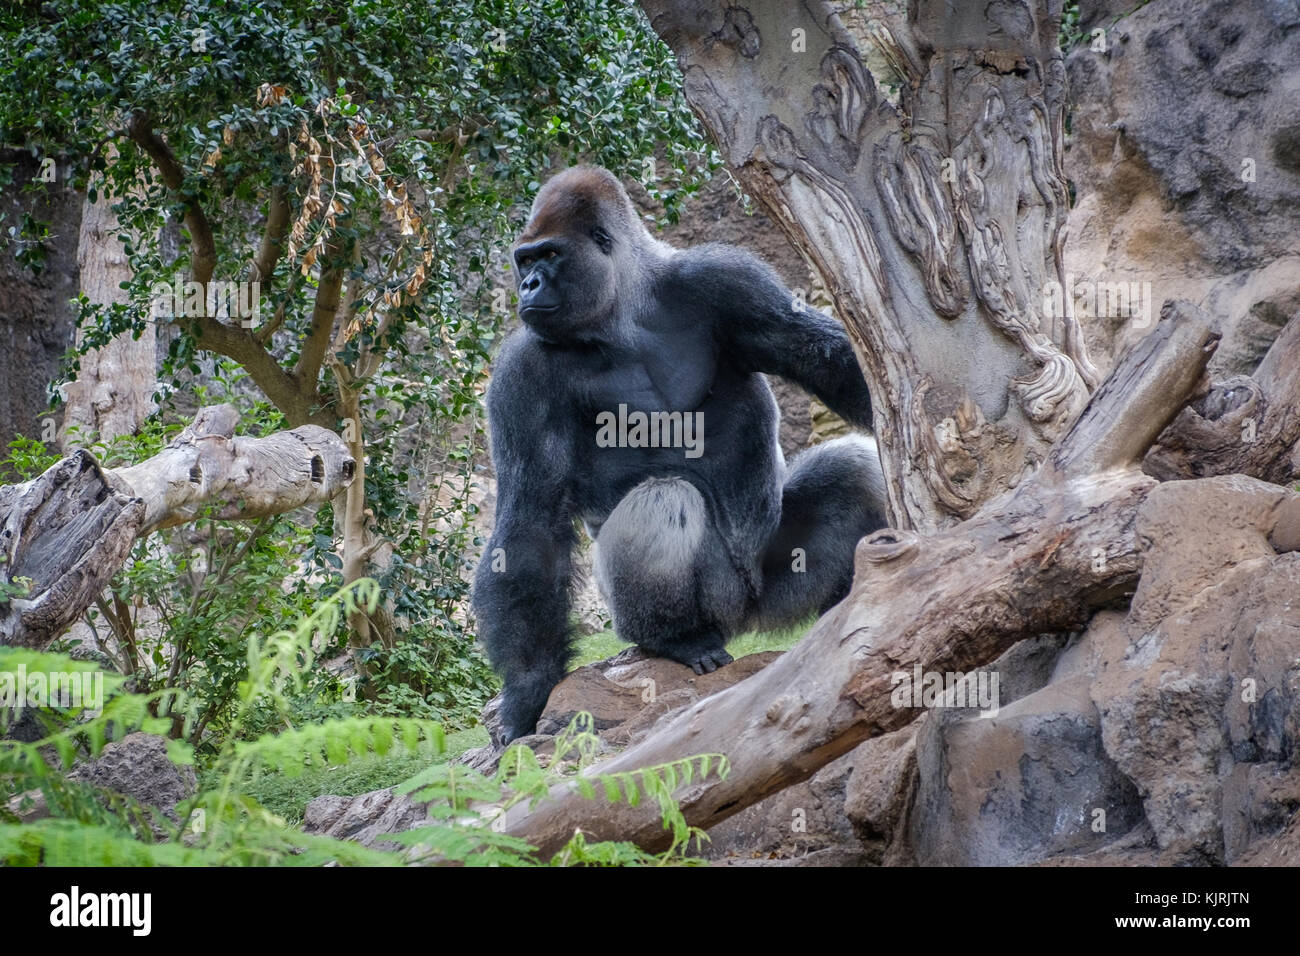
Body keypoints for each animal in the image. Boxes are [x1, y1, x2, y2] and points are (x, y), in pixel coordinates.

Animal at [478, 167, 894, 743]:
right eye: (525, 260)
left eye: (549, 256)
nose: (527, 286)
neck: (624, 312)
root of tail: (746, 620)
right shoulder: (522, 370)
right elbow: (530, 522)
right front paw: (526, 690)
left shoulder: (727, 280)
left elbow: (827, 359)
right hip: (712, 608)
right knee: (665, 501)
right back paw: (677, 640)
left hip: (774, 586)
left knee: (851, 468)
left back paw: (850, 597)